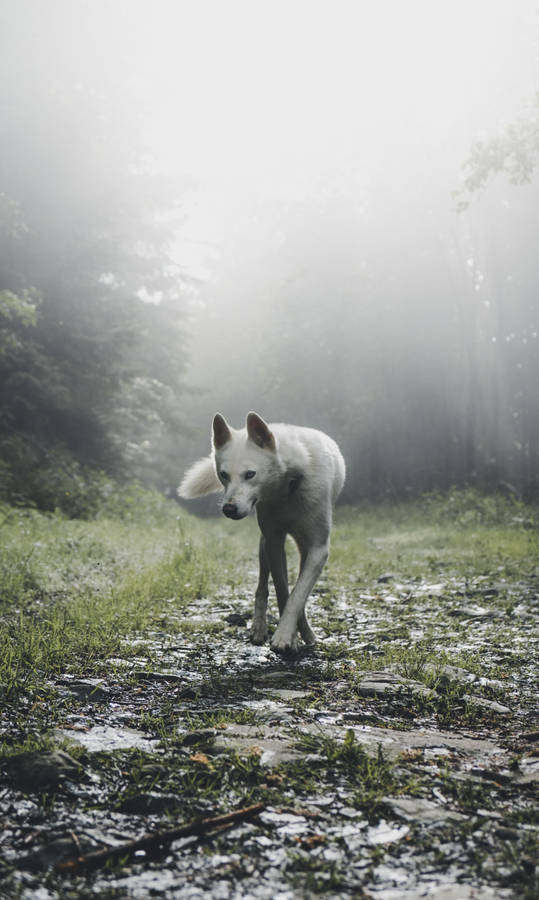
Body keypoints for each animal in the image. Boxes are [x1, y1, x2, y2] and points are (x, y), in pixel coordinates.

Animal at [178, 412, 345, 653]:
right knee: (261, 587)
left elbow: (298, 594)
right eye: (224, 475)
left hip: (302, 547)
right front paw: (290, 636)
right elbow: (283, 592)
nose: (229, 509)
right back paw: (259, 628)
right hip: (264, 545)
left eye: (250, 474)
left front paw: (287, 634)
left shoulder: (318, 549)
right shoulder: (274, 542)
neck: (288, 487)